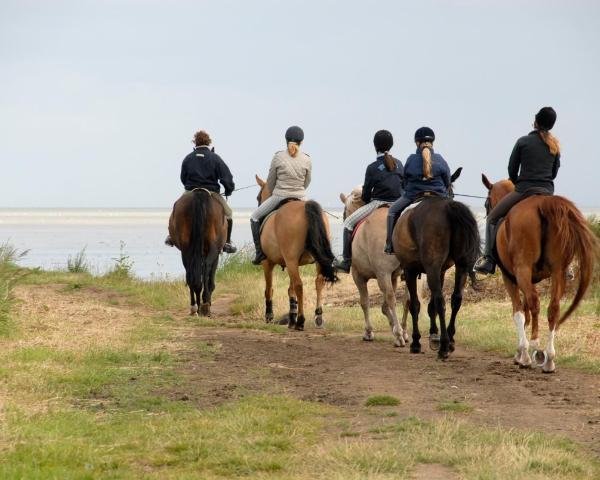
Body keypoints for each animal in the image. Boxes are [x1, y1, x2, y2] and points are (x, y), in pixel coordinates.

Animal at [253, 175, 338, 330]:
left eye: (258, 197)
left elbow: (269, 289)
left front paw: (269, 316)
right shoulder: (291, 263)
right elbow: (290, 290)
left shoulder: (268, 263)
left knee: (299, 285)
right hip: (315, 260)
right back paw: (318, 316)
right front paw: (291, 317)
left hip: (290, 261)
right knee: (319, 281)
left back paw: (301, 321)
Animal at [392, 179, 480, 356]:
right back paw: (450, 340)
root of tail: (448, 208)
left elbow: (415, 304)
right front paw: (433, 335)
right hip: (460, 266)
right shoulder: (440, 271)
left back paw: (444, 346)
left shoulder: (410, 270)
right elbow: (431, 305)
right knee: (456, 299)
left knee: (440, 299)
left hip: (427, 268)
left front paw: (416, 342)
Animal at [480, 175, 596, 372]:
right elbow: (526, 312)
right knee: (553, 309)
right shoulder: (531, 279)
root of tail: (543, 204)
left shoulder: (510, 277)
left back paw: (533, 348)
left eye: (487, 202)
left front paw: (521, 353)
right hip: (558, 272)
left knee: (534, 303)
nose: (488, 212)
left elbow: (519, 312)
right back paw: (549, 359)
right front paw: (521, 352)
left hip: (523, 270)